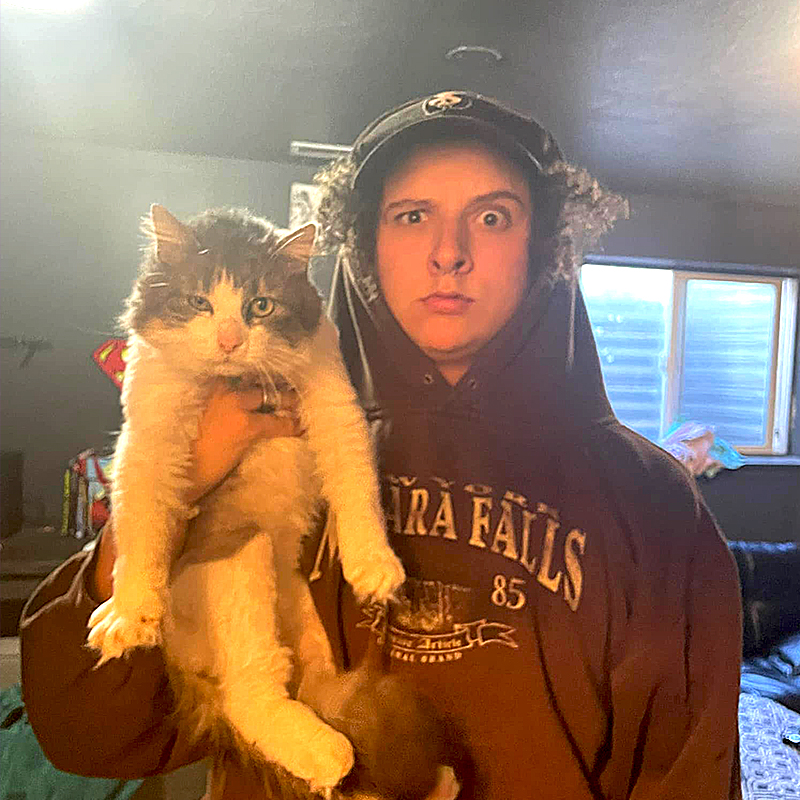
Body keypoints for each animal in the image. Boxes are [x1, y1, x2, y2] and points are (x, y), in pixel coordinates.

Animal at [87, 205, 416, 792]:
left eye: (260, 305)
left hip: (300, 616)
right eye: (199, 302)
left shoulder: (335, 405)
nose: (229, 340)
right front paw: (128, 613)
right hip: (243, 552)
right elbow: (140, 525)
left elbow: (358, 488)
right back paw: (331, 757)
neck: (235, 381)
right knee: (248, 697)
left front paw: (374, 567)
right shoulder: (149, 438)